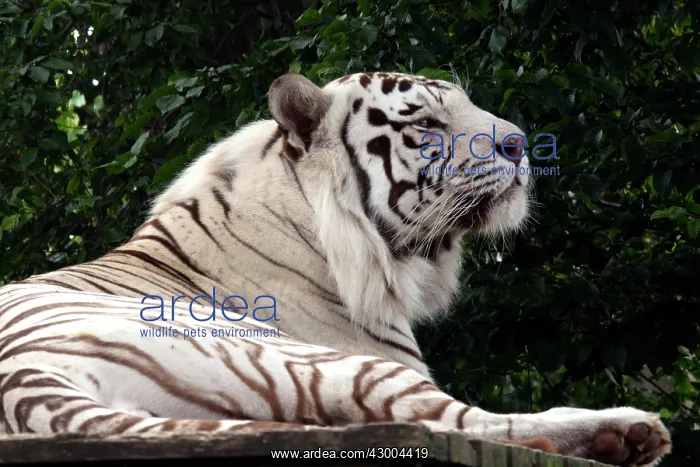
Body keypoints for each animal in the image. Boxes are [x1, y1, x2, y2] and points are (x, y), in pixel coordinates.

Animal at [0, 72, 670, 466]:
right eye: (425, 123)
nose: (521, 145)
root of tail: (24, 385)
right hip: (311, 358)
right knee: (468, 423)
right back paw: (628, 431)